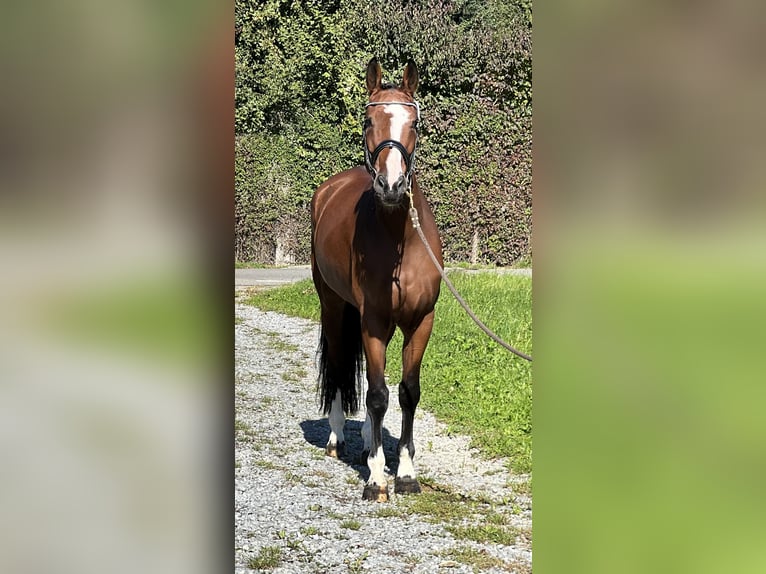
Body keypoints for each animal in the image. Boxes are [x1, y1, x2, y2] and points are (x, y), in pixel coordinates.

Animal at [312, 56, 444, 502]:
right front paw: (375, 477)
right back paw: (338, 439)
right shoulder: (372, 322)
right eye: (369, 120)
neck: (400, 239)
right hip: (334, 306)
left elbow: (406, 392)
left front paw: (404, 471)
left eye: (415, 123)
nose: (391, 185)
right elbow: (378, 393)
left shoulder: (421, 321)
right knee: (342, 368)